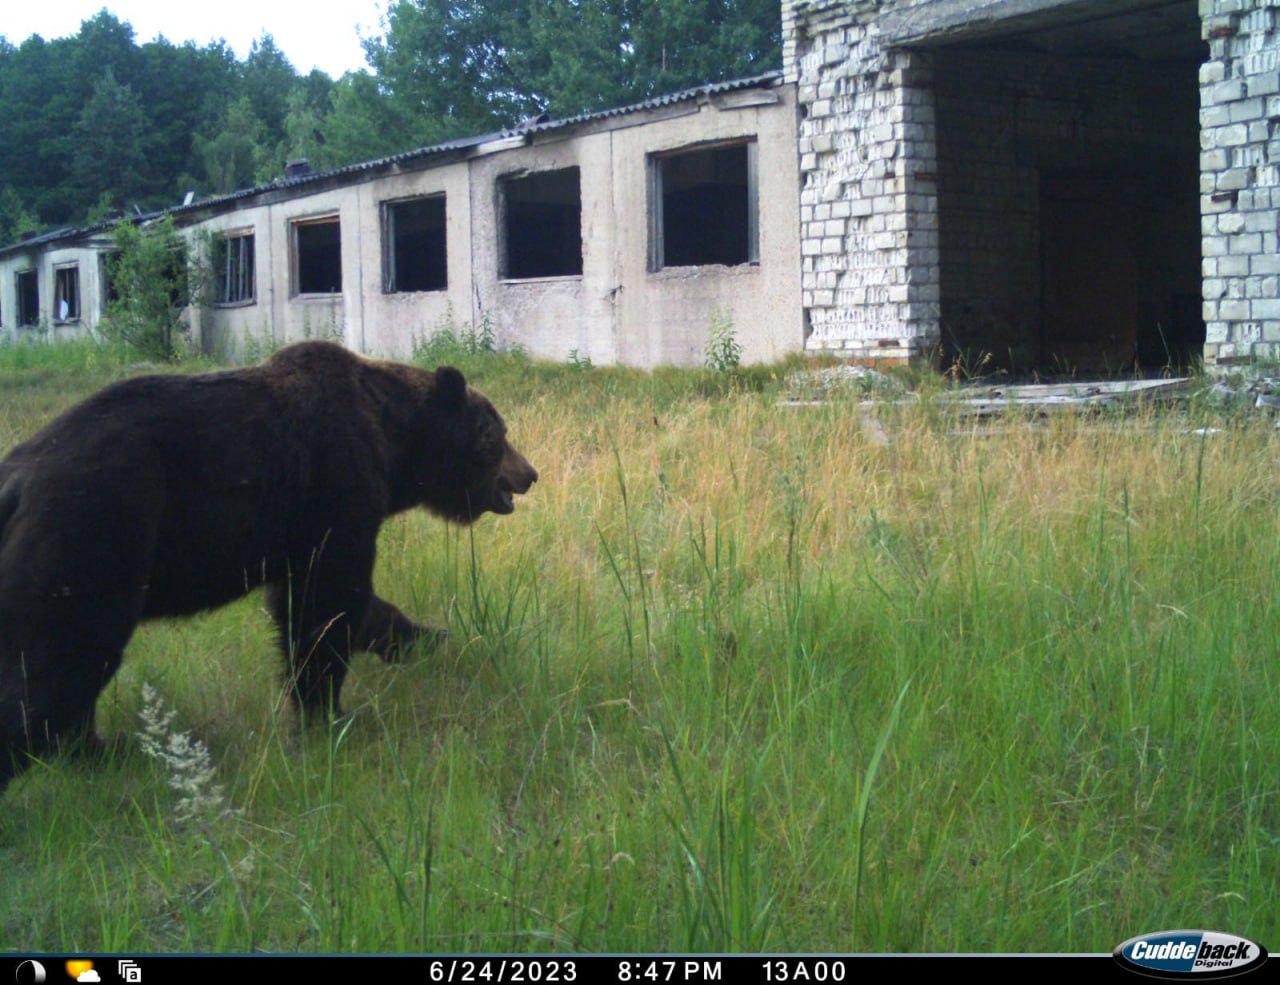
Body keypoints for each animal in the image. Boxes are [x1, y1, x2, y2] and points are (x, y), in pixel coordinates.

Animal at [0, 337, 537, 788]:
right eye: (495, 434)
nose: (528, 474)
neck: (392, 441)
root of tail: (17, 478)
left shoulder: (295, 532)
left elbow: (333, 603)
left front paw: (422, 636)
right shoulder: (337, 478)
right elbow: (325, 604)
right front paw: (327, 712)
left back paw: (103, 749)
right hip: (93, 530)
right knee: (60, 654)